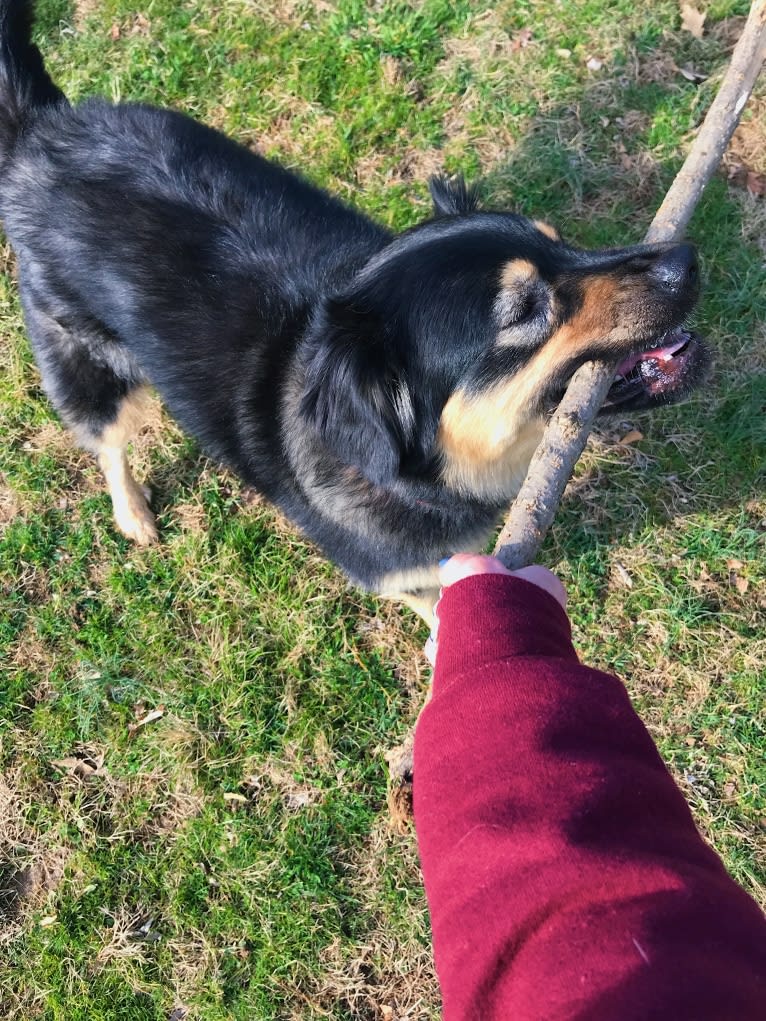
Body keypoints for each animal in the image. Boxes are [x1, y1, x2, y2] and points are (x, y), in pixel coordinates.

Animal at [0, 5, 706, 620]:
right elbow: (438, 611)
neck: (427, 471)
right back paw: (133, 514)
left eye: (562, 243)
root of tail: (43, 130)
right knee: (106, 440)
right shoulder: (392, 570)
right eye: (526, 309)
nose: (686, 260)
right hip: (87, 360)